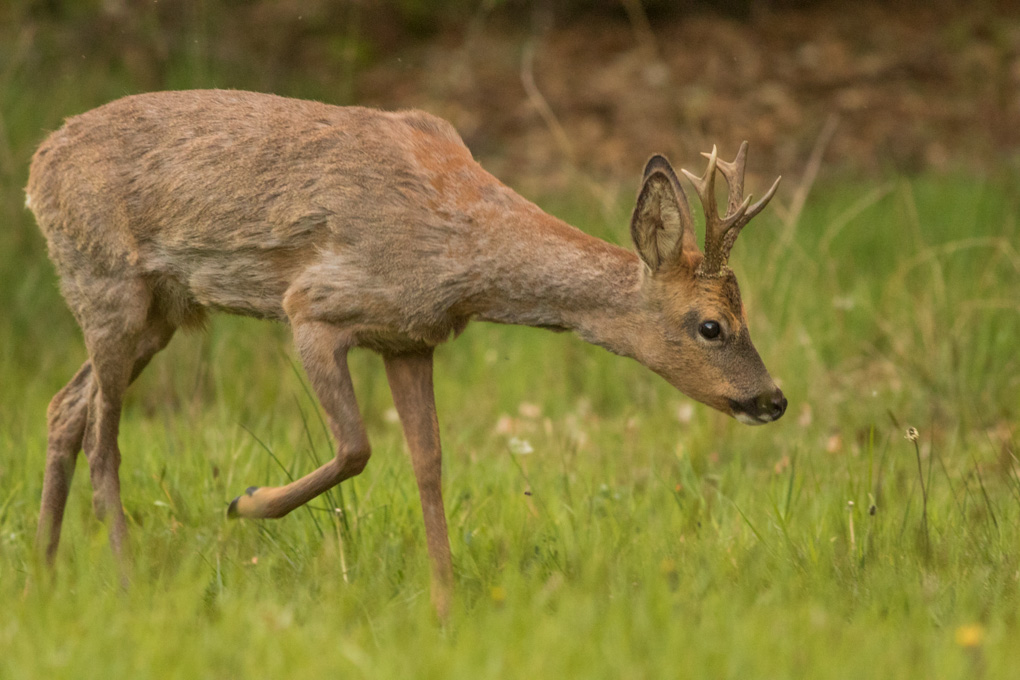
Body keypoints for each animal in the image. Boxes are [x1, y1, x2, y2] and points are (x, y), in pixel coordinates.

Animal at [27, 90, 783, 615]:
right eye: (712, 326)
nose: (772, 399)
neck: (463, 250)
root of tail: (37, 167)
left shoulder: (409, 337)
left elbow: (429, 464)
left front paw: (445, 604)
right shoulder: (314, 306)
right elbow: (358, 447)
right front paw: (246, 502)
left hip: (161, 311)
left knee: (65, 406)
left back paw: (48, 570)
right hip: (108, 283)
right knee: (102, 434)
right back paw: (126, 581)